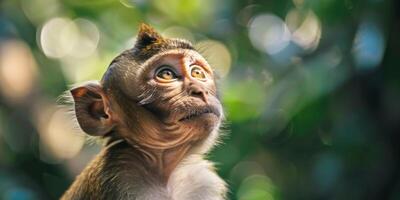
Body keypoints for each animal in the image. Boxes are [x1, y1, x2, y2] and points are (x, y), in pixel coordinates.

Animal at [60, 23, 227, 200]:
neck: (163, 172)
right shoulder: (121, 178)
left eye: (197, 73)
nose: (200, 91)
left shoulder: (201, 181)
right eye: (166, 74)